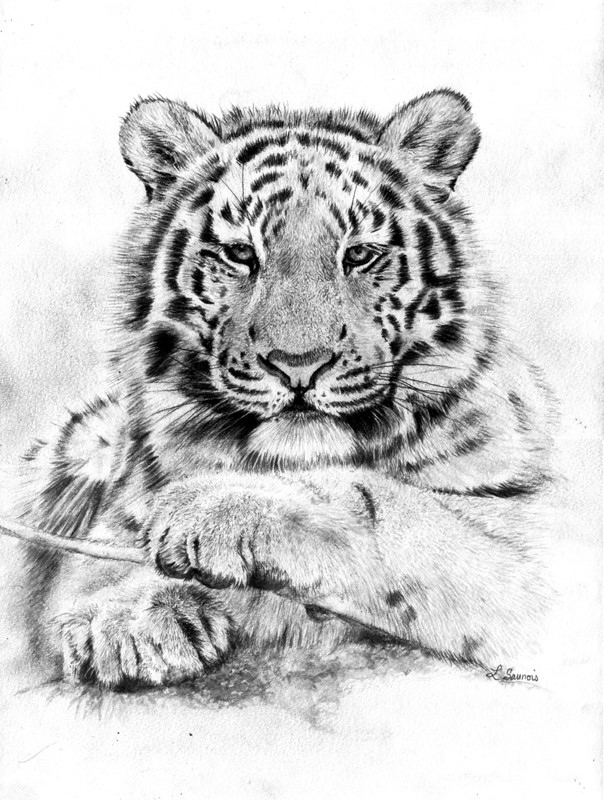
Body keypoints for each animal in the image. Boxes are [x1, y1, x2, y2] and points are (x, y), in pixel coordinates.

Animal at [17, 89, 556, 689]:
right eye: (239, 254)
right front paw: (124, 617)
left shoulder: (532, 533)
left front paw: (209, 509)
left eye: (359, 255)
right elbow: (90, 568)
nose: (298, 365)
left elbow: (382, 503)